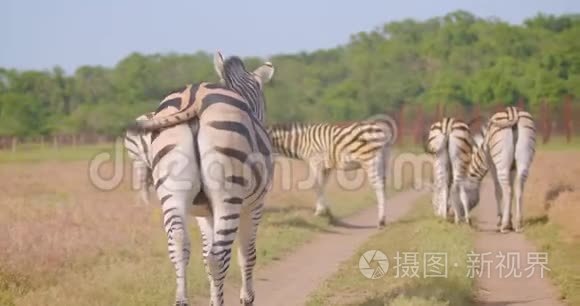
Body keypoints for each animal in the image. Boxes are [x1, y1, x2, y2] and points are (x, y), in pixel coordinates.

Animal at [125, 52, 276, 306]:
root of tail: (195, 95)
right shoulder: (255, 206)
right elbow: (247, 254)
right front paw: (246, 298)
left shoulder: (204, 213)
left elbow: (205, 255)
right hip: (228, 196)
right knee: (219, 256)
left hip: (171, 192)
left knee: (179, 246)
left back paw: (181, 300)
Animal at [266, 116, 396, 228]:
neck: (301, 141)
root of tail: (381, 130)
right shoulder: (326, 167)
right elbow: (322, 186)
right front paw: (327, 211)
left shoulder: (315, 161)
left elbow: (316, 185)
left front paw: (319, 212)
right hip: (384, 160)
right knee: (383, 185)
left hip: (370, 160)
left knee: (378, 186)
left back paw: (381, 221)